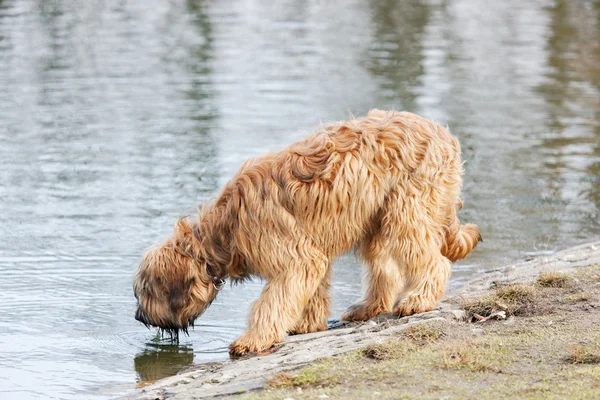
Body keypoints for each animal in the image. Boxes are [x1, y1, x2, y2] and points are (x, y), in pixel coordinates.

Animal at [134, 108, 480, 356]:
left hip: (407, 208)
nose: (138, 317)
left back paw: (418, 299)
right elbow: (311, 292)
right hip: (376, 219)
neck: (226, 230)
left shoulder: (295, 258)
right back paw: (369, 307)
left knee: (432, 260)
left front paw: (253, 339)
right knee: (385, 269)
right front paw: (306, 324)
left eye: (147, 291)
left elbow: (271, 302)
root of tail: (445, 135)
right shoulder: (312, 253)